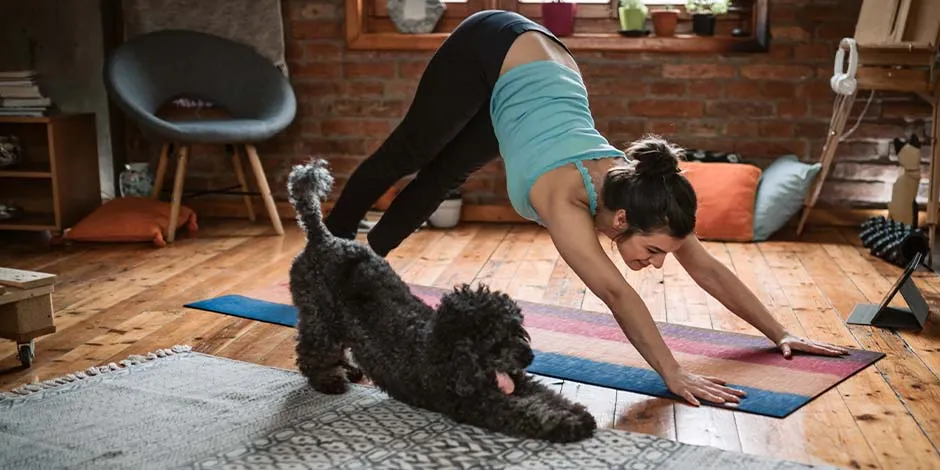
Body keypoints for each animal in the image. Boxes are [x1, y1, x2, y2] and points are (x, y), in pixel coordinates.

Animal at [284, 160, 596, 442]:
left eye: (518, 330)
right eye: (495, 339)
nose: (528, 357)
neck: (444, 349)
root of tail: (322, 238)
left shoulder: (517, 380)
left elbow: (546, 394)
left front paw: (576, 411)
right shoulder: (478, 404)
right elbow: (527, 413)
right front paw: (568, 424)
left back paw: (348, 370)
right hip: (319, 317)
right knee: (311, 353)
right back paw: (328, 380)